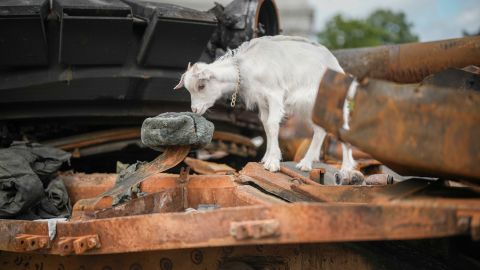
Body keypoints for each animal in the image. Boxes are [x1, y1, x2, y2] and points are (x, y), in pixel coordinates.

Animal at [173, 34, 356, 174]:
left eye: (201, 86)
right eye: (189, 89)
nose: (195, 109)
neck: (247, 67)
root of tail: (337, 66)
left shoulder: (274, 94)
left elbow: (273, 124)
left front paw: (273, 163)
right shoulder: (262, 100)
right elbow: (266, 126)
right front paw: (266, 158)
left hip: (332, 102)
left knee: (341, 128)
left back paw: (342, 168)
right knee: (320, 130)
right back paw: (310, 163)